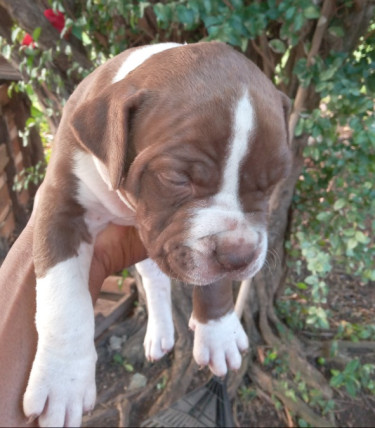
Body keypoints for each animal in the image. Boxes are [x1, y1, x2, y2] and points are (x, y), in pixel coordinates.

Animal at [25, 41, 292, 426]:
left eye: (272, 182)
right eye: (176, 178)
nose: (239, 257)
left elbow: (214, 281)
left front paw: (219, 331)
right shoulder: (59, 206)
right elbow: (65, 300)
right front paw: (64, 380)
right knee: (153, 278)